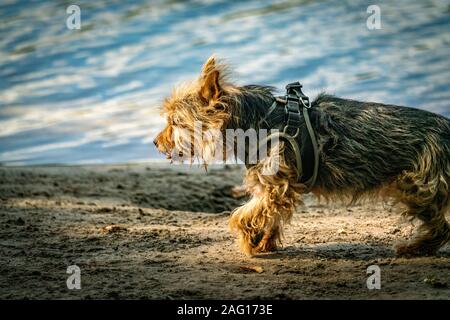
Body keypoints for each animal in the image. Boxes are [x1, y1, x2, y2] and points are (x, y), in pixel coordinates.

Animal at [154, 55, 450, 258]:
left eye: (175, 122)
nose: (156, 142)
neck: (258, 121)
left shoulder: (277, 185)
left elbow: (245, 214)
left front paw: (249, 241)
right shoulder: (273, 187)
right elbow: (266, 214)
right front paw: (263, 242)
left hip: (417, 184)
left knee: (440, 226)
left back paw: (415, 248)